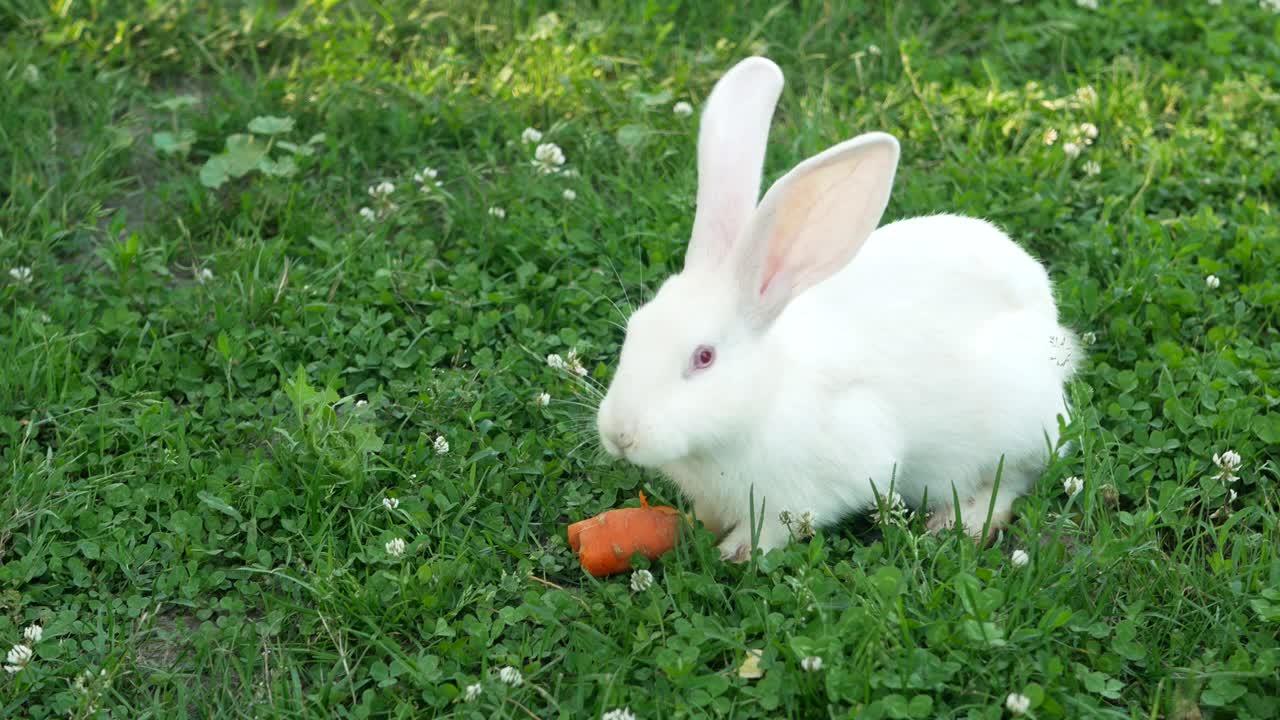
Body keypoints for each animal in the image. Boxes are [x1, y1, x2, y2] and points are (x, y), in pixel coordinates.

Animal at [593, 57, 1075, 561]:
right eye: (633, 331)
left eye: (704, 357)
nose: (620, 435)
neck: (764, 397)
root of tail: (1051, 328)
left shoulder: (827, 479)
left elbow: (778, 527)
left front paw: (737, 552)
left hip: (1013, 431)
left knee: (1009, 482)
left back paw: (960, 524)